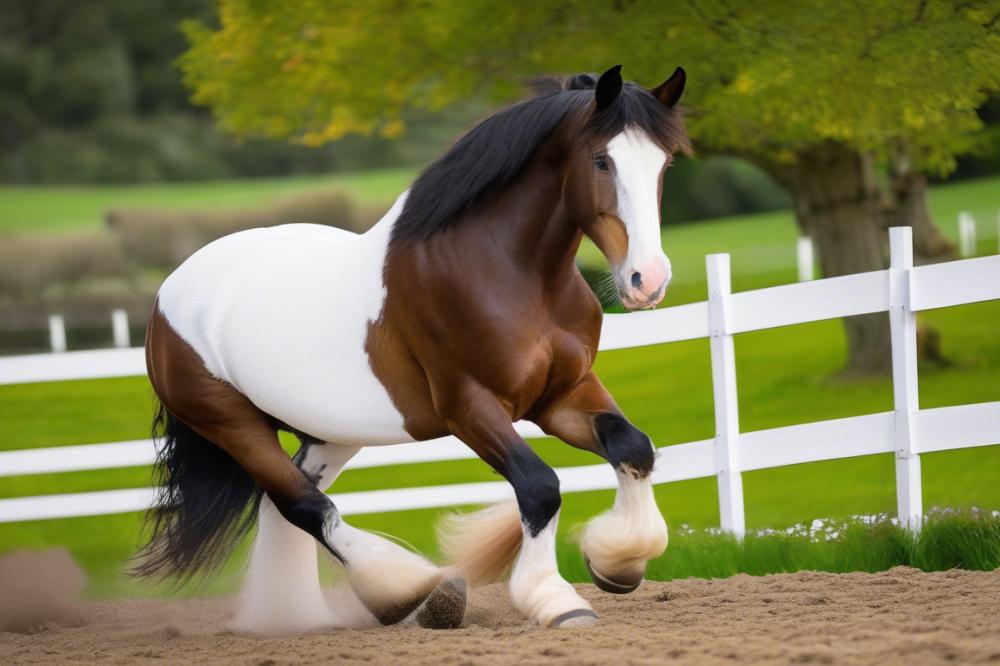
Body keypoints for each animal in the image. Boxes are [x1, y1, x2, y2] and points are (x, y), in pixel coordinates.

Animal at [137, 65, 692, 632]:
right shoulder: (469, 407)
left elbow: (633, 447)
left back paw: (302, 614)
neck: (508, 275)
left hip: (329, 434)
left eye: (665, 160)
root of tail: (168, 293)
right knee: (303, 506)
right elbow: (540, 486)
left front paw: (617, 562)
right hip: (231, 423)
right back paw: (413, 592)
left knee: (287, 505)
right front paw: (555, 599)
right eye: (602, 160)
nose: (647, 282)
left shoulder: (563, 394)